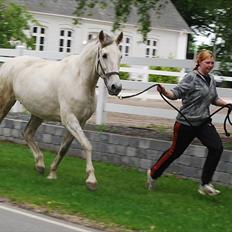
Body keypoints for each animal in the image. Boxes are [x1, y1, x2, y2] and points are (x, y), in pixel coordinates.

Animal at [0, 30, 123, 190]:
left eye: (120, 56)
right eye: (104, 55)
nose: (116, 87)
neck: (80, 80)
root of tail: (7, 64)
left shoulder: (80, 121)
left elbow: (64, 148)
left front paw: (52, 173)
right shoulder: (69, 119)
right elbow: (87, 145)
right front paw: (91, 180)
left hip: (38, 113)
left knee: (27, 133)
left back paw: (40, 165)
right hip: (5, 103)